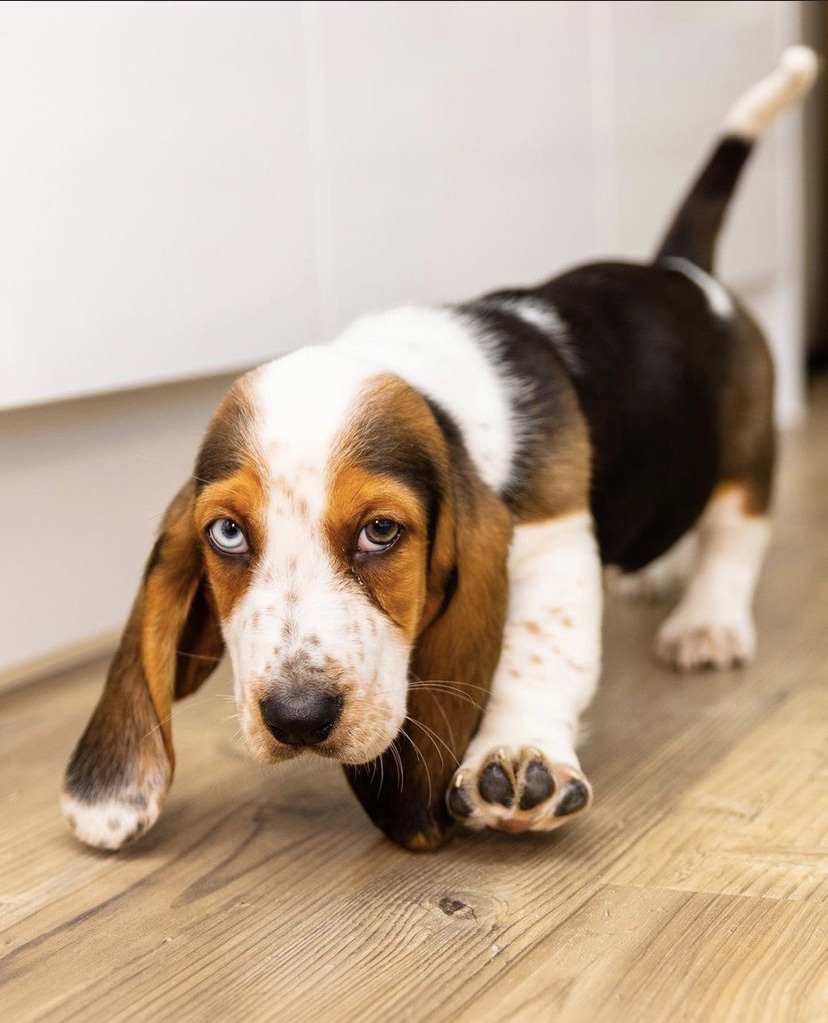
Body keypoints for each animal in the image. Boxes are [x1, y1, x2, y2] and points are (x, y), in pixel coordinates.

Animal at [62, 47, 817, 852]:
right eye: (227, 533)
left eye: (381, 530)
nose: (297, 718)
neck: (433, 394)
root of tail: (680, 271)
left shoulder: (549, 540)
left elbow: (539, 652)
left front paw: (520, 753)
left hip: (744, 463)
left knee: (735, 537)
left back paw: (707, 623)